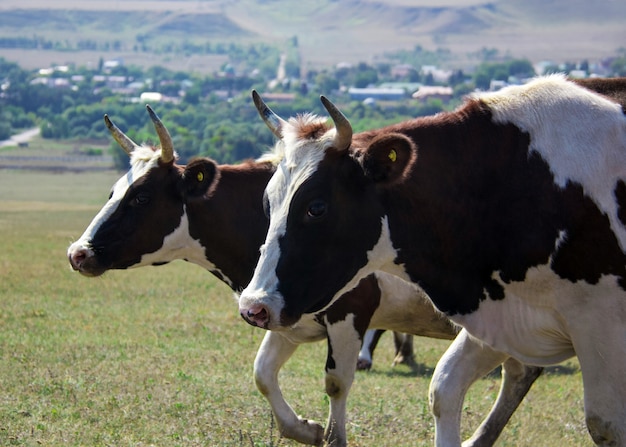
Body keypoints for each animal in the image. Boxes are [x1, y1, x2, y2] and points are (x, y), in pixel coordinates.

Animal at [66, 107, 540, 447]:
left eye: (141, 196)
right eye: (113, 191)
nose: (78, 253)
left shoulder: (350, 313)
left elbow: (336, 382)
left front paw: (331, 436)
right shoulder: (284, 317)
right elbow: (262, 373)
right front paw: (305, 430)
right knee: (521, 373)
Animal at [239, 75, 624, 446]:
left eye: (316, 207)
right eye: (267, 201)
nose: (253, 307)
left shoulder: (600, 324)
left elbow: (605, 425)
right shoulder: (497, 313)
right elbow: (444, 389)